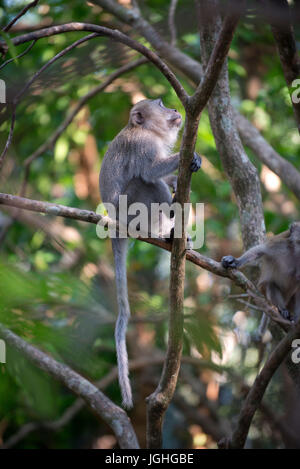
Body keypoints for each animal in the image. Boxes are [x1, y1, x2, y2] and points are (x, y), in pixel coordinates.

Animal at [100, 98, 202, 406]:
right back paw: (171, 216)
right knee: (143, 182)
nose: (174, 108)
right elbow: (150, 171)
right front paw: (186, 157)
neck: (146, 130)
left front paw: (186, 170)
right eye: (160, 103)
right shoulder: (142, 145)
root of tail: (115, 224)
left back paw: (173, 235)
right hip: (131, 211)